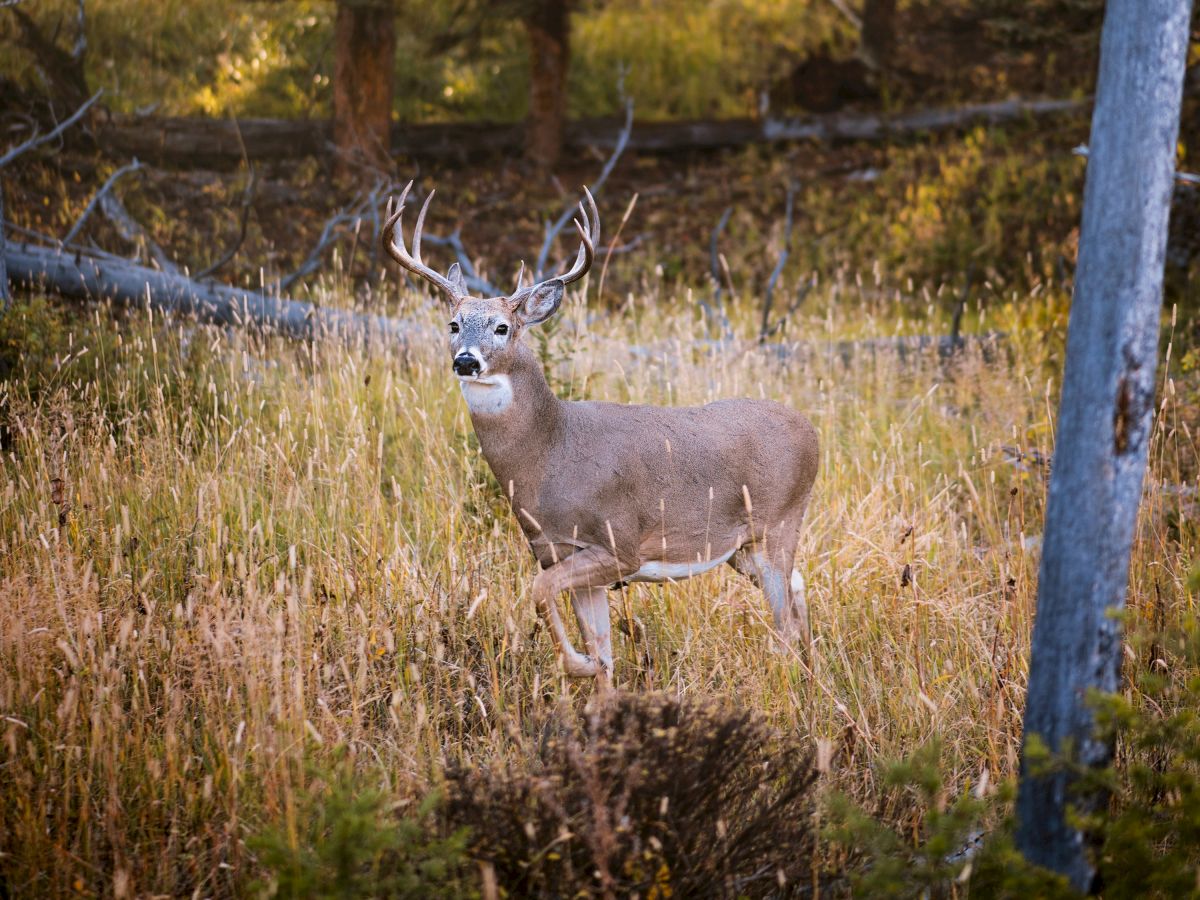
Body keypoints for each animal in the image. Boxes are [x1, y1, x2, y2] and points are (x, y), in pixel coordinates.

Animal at [384, 183, 816, 681]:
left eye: (503, 327)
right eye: (453, 324)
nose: (466, 360)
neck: (549, 453)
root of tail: (813, 431)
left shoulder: (617, 544)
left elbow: (539, 592)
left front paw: (578, 664)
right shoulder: (557, 550)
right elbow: (602, 648)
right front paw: (595, 676)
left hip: (779, 522)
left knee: (784, 621)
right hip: (742, 547)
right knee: (799, 589)